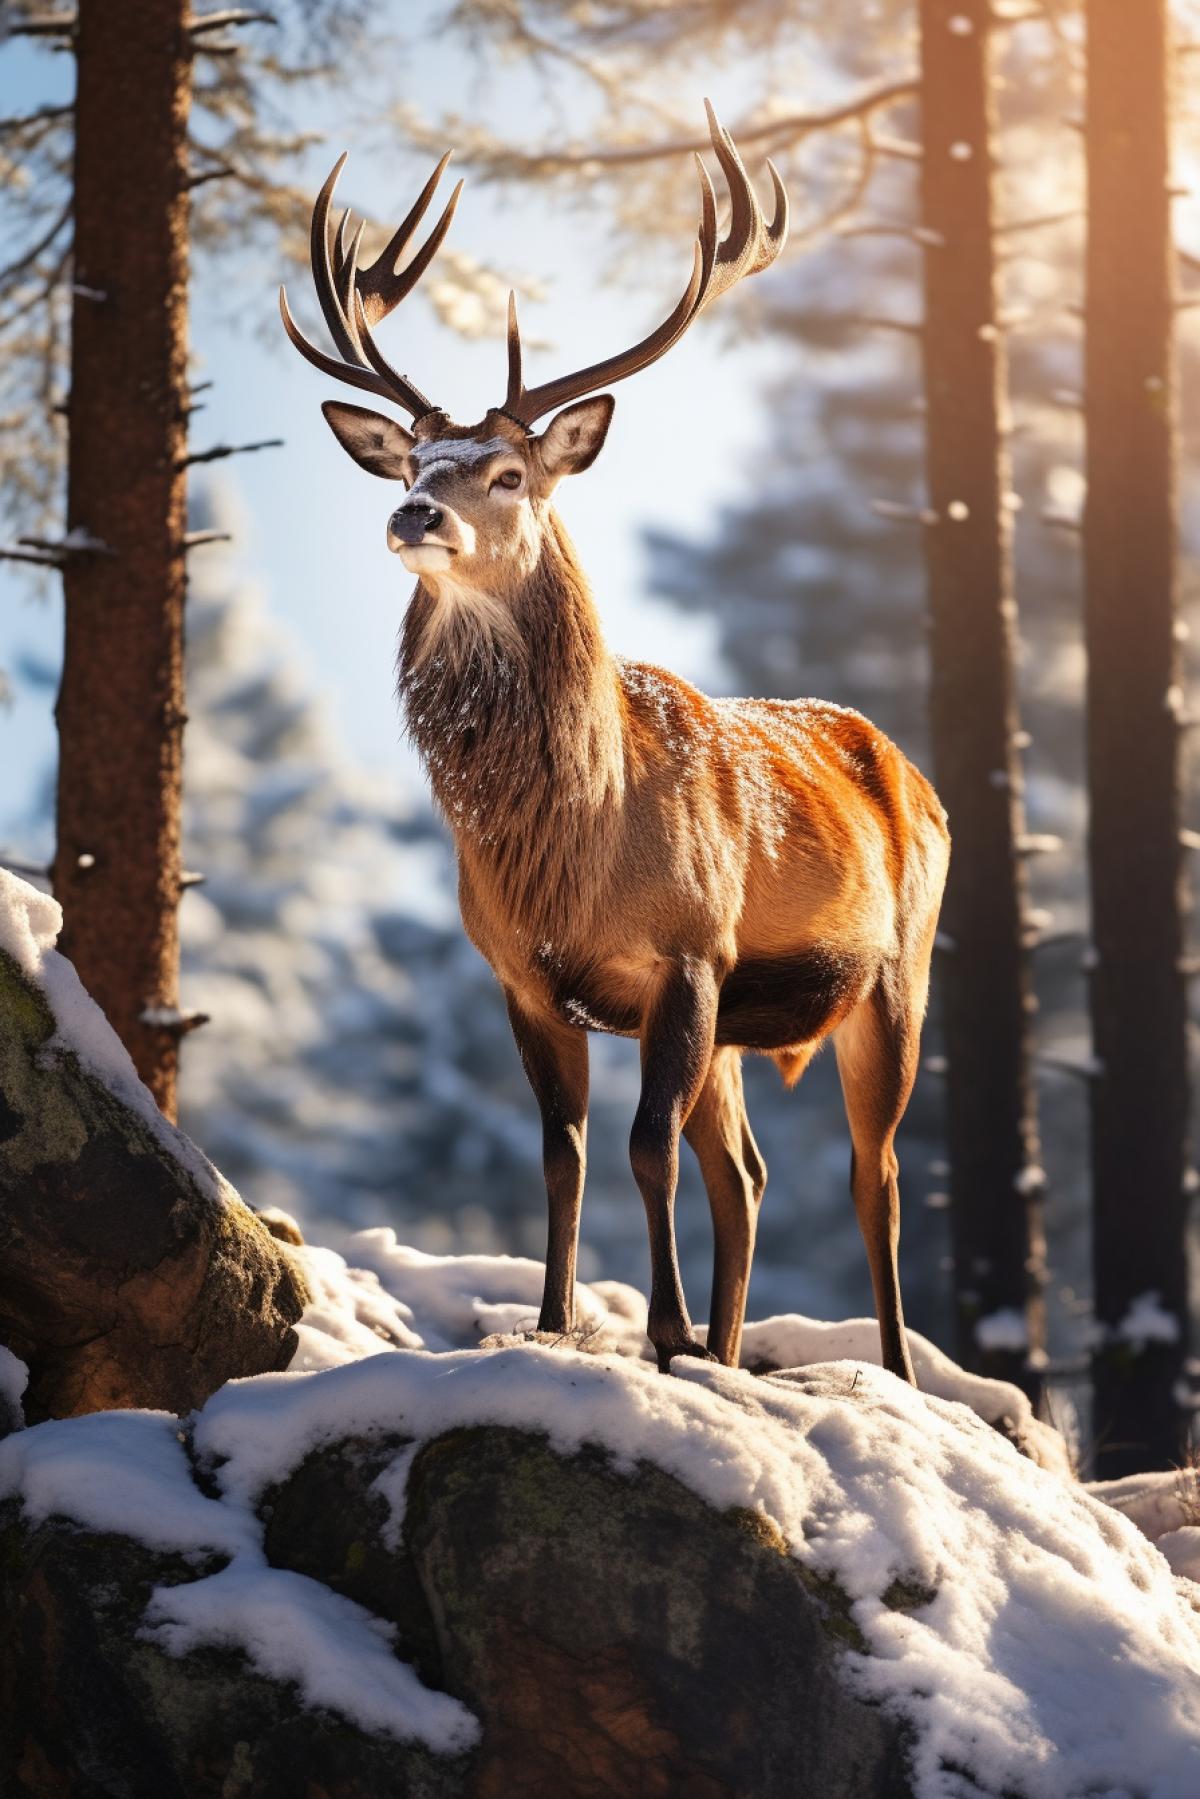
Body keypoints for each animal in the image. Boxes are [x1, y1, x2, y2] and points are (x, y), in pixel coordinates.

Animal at [281, 104, 950, 1382]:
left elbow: (645, 1145)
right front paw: (557, 1324)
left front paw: (666, 1332)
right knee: (747, 1171)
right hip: (747, 1023)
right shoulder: (524, 977)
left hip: (896, 973)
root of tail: (912, 769)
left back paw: (884, 1371)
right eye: (412, 460)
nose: (414, 511)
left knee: (874, 1175)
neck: (574, 841)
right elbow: (565, 1149)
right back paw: (735, 1351)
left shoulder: (685, 951)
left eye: (507, 471)